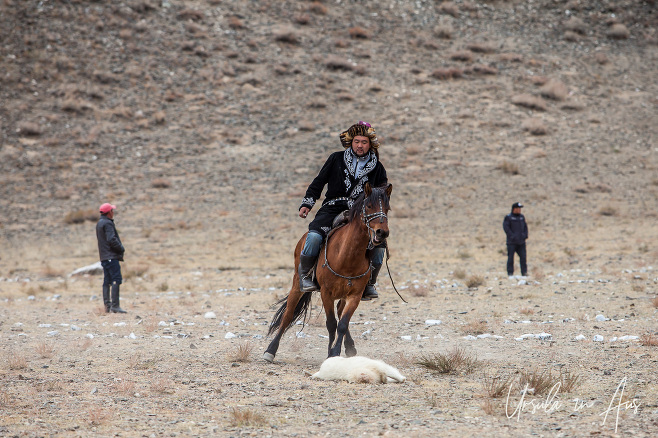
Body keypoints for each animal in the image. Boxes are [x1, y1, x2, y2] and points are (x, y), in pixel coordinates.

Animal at [264, 183, 392, 362]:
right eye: (368, 206)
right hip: (297, 284)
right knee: (288, 314)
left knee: (339, 312)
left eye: (387, 208)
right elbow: (331, 324)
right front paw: (331, 353)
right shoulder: (326, 293)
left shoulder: (355, 295)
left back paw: (350, 347)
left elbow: (343, 324)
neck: (347, 256)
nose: (382, 232)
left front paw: (335, 351)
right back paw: (270, 350)